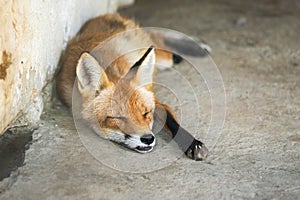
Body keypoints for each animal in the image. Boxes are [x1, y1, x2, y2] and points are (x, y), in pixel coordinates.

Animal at [56, 13, 209, 160]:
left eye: (146, 113)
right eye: (118, 118)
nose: (148, 139)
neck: (111, 69)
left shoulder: (156, 101)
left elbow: (172, 122)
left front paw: (193, 143)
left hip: (164, 59)